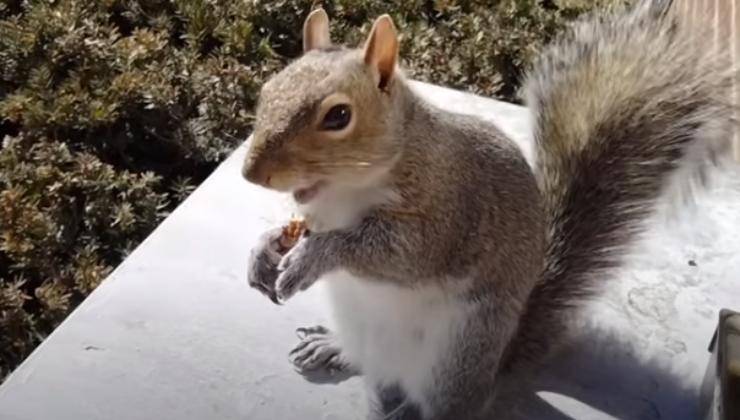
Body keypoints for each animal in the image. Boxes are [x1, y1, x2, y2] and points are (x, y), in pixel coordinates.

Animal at [242, 1, 735, 419]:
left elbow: (397, 254)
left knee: (453, 405)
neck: (344, 190)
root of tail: (500, 362)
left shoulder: (449, 213)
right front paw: (264, 250)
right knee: (371, 364)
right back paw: (335, 348)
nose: (251, 173)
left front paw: (313, 256)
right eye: (267, 91)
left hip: (455, 357)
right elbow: (297, 228)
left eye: (338, 116)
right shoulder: (316, 213)